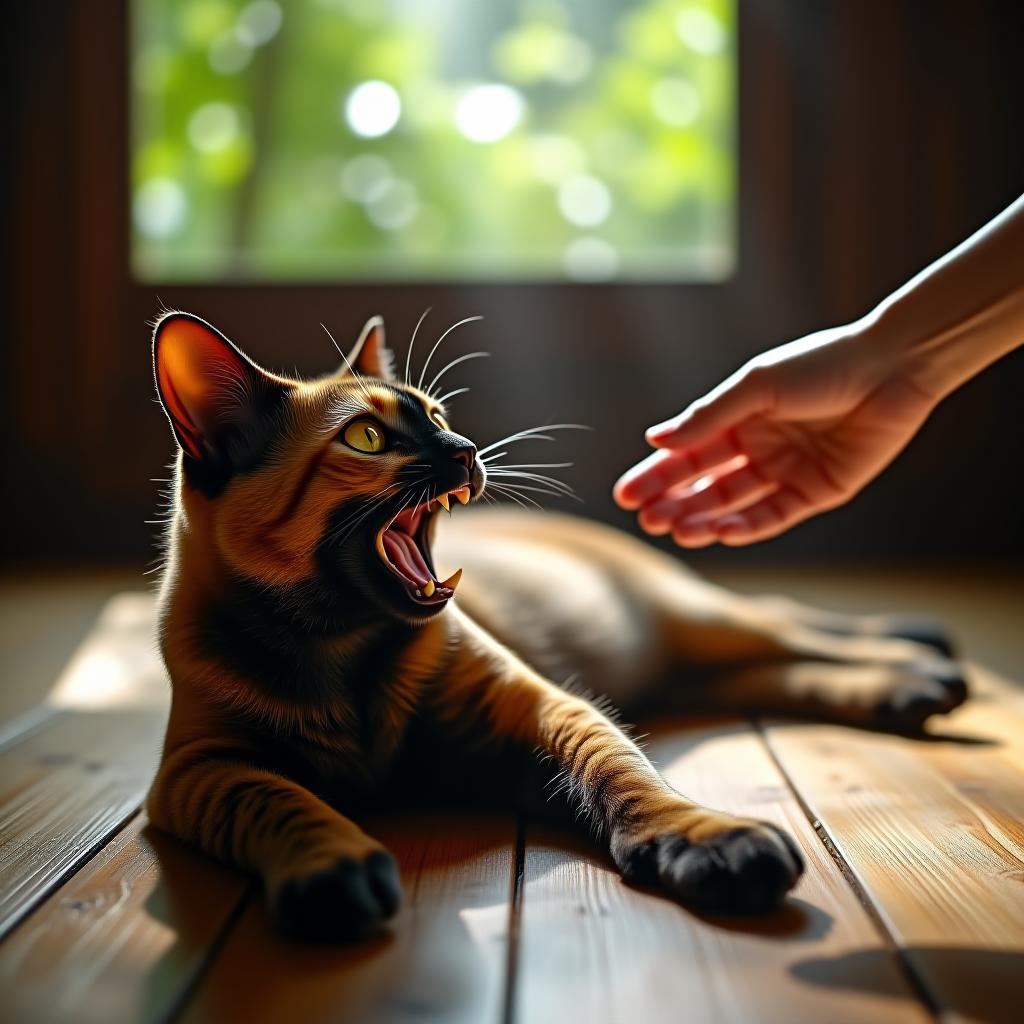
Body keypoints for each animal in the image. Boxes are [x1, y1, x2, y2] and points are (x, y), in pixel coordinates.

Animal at [146, 311, 966, 942]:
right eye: (368, 440)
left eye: (437, 418)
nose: (466, 452)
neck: (342, 653)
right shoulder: (201, 768)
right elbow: (279, 803)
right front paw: (332, 867)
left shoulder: (543, 707)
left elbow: (625, 775)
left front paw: (707, 839)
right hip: (686, 658)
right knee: (766, 670)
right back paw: (912, 687)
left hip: (695, 619)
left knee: (790, 626)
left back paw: (922, 661)